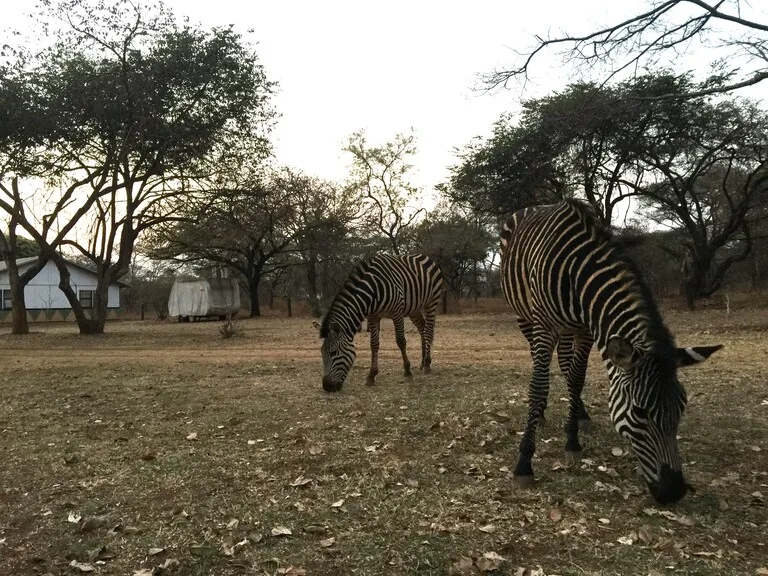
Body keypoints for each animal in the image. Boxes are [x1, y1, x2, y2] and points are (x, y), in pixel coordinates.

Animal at [312, 252, 444, 392]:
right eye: (321, 352)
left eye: (333, 352)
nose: (327, 386)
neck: (372, 291)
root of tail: (423, 256)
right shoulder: (373, 316)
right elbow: (374, 344)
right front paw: (371, 375)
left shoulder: (397, 313)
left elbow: (401, 341)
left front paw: (407, 371)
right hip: (413, 308)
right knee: (422, 327)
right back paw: (423, 361)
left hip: (431, 302)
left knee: (428, 330)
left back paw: (427, 364)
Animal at [500, 201, 724, 504]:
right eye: (640, 412)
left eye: (681, 408)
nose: (674, 491)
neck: (578, 274)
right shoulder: (545, 325)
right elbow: (538, 384)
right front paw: (524, 462)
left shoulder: (586, 328)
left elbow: (577, 378)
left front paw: (572, 440)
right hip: (524, 316)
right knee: (540, 362)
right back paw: (543, 413)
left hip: (566, 328)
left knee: (566, 364)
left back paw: (580, 414)